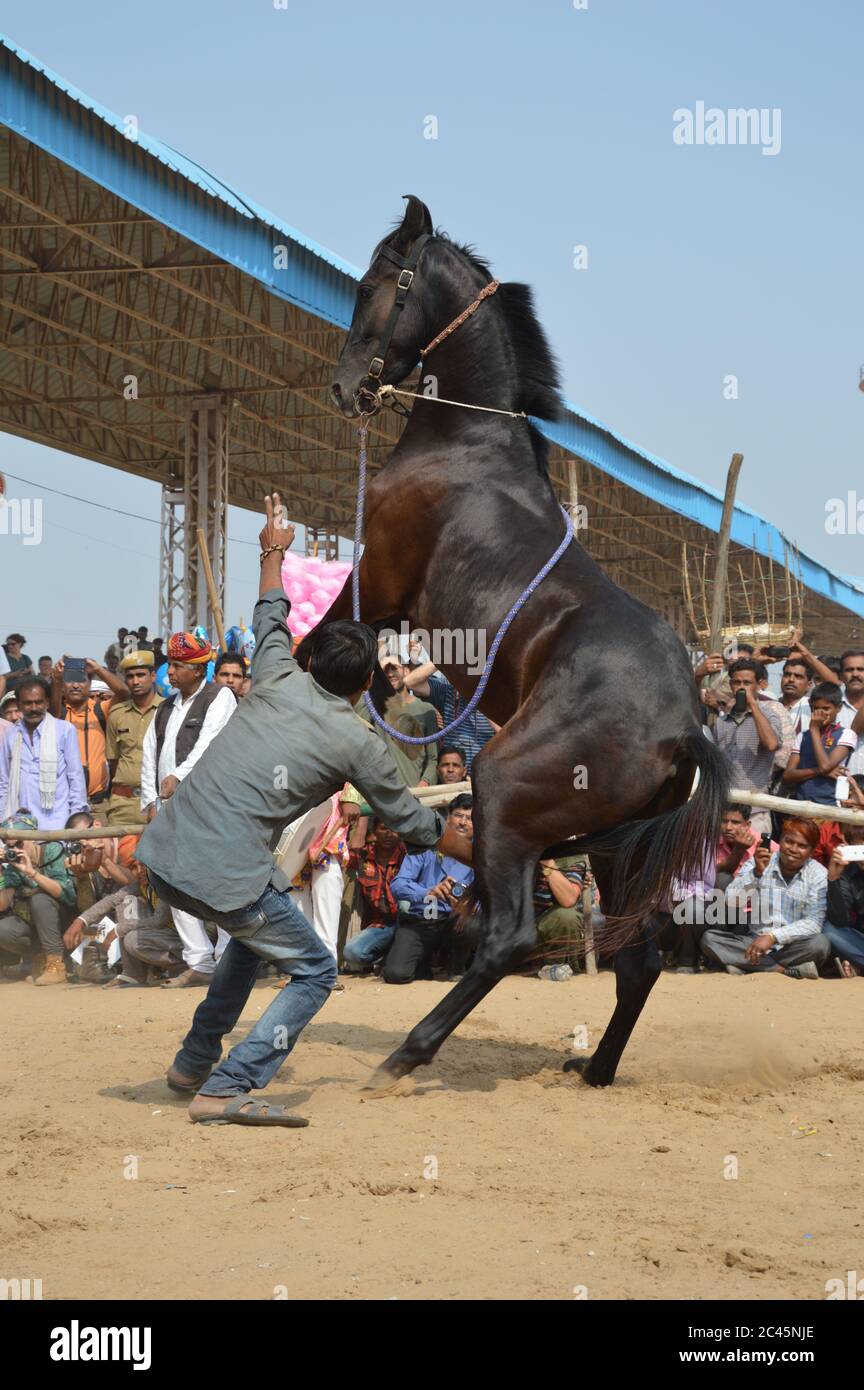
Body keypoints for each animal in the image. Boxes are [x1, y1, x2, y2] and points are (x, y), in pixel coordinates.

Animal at [297, 198, 733, 1084]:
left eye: (374, 283)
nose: (346, 388)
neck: (463, 449)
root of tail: (684, 726)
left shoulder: (378, 581)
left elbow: (313, 651)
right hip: (622, 851)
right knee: (639, 959)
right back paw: (594, 1068)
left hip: (506, 785)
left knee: (508, 939)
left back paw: (408, 1053)